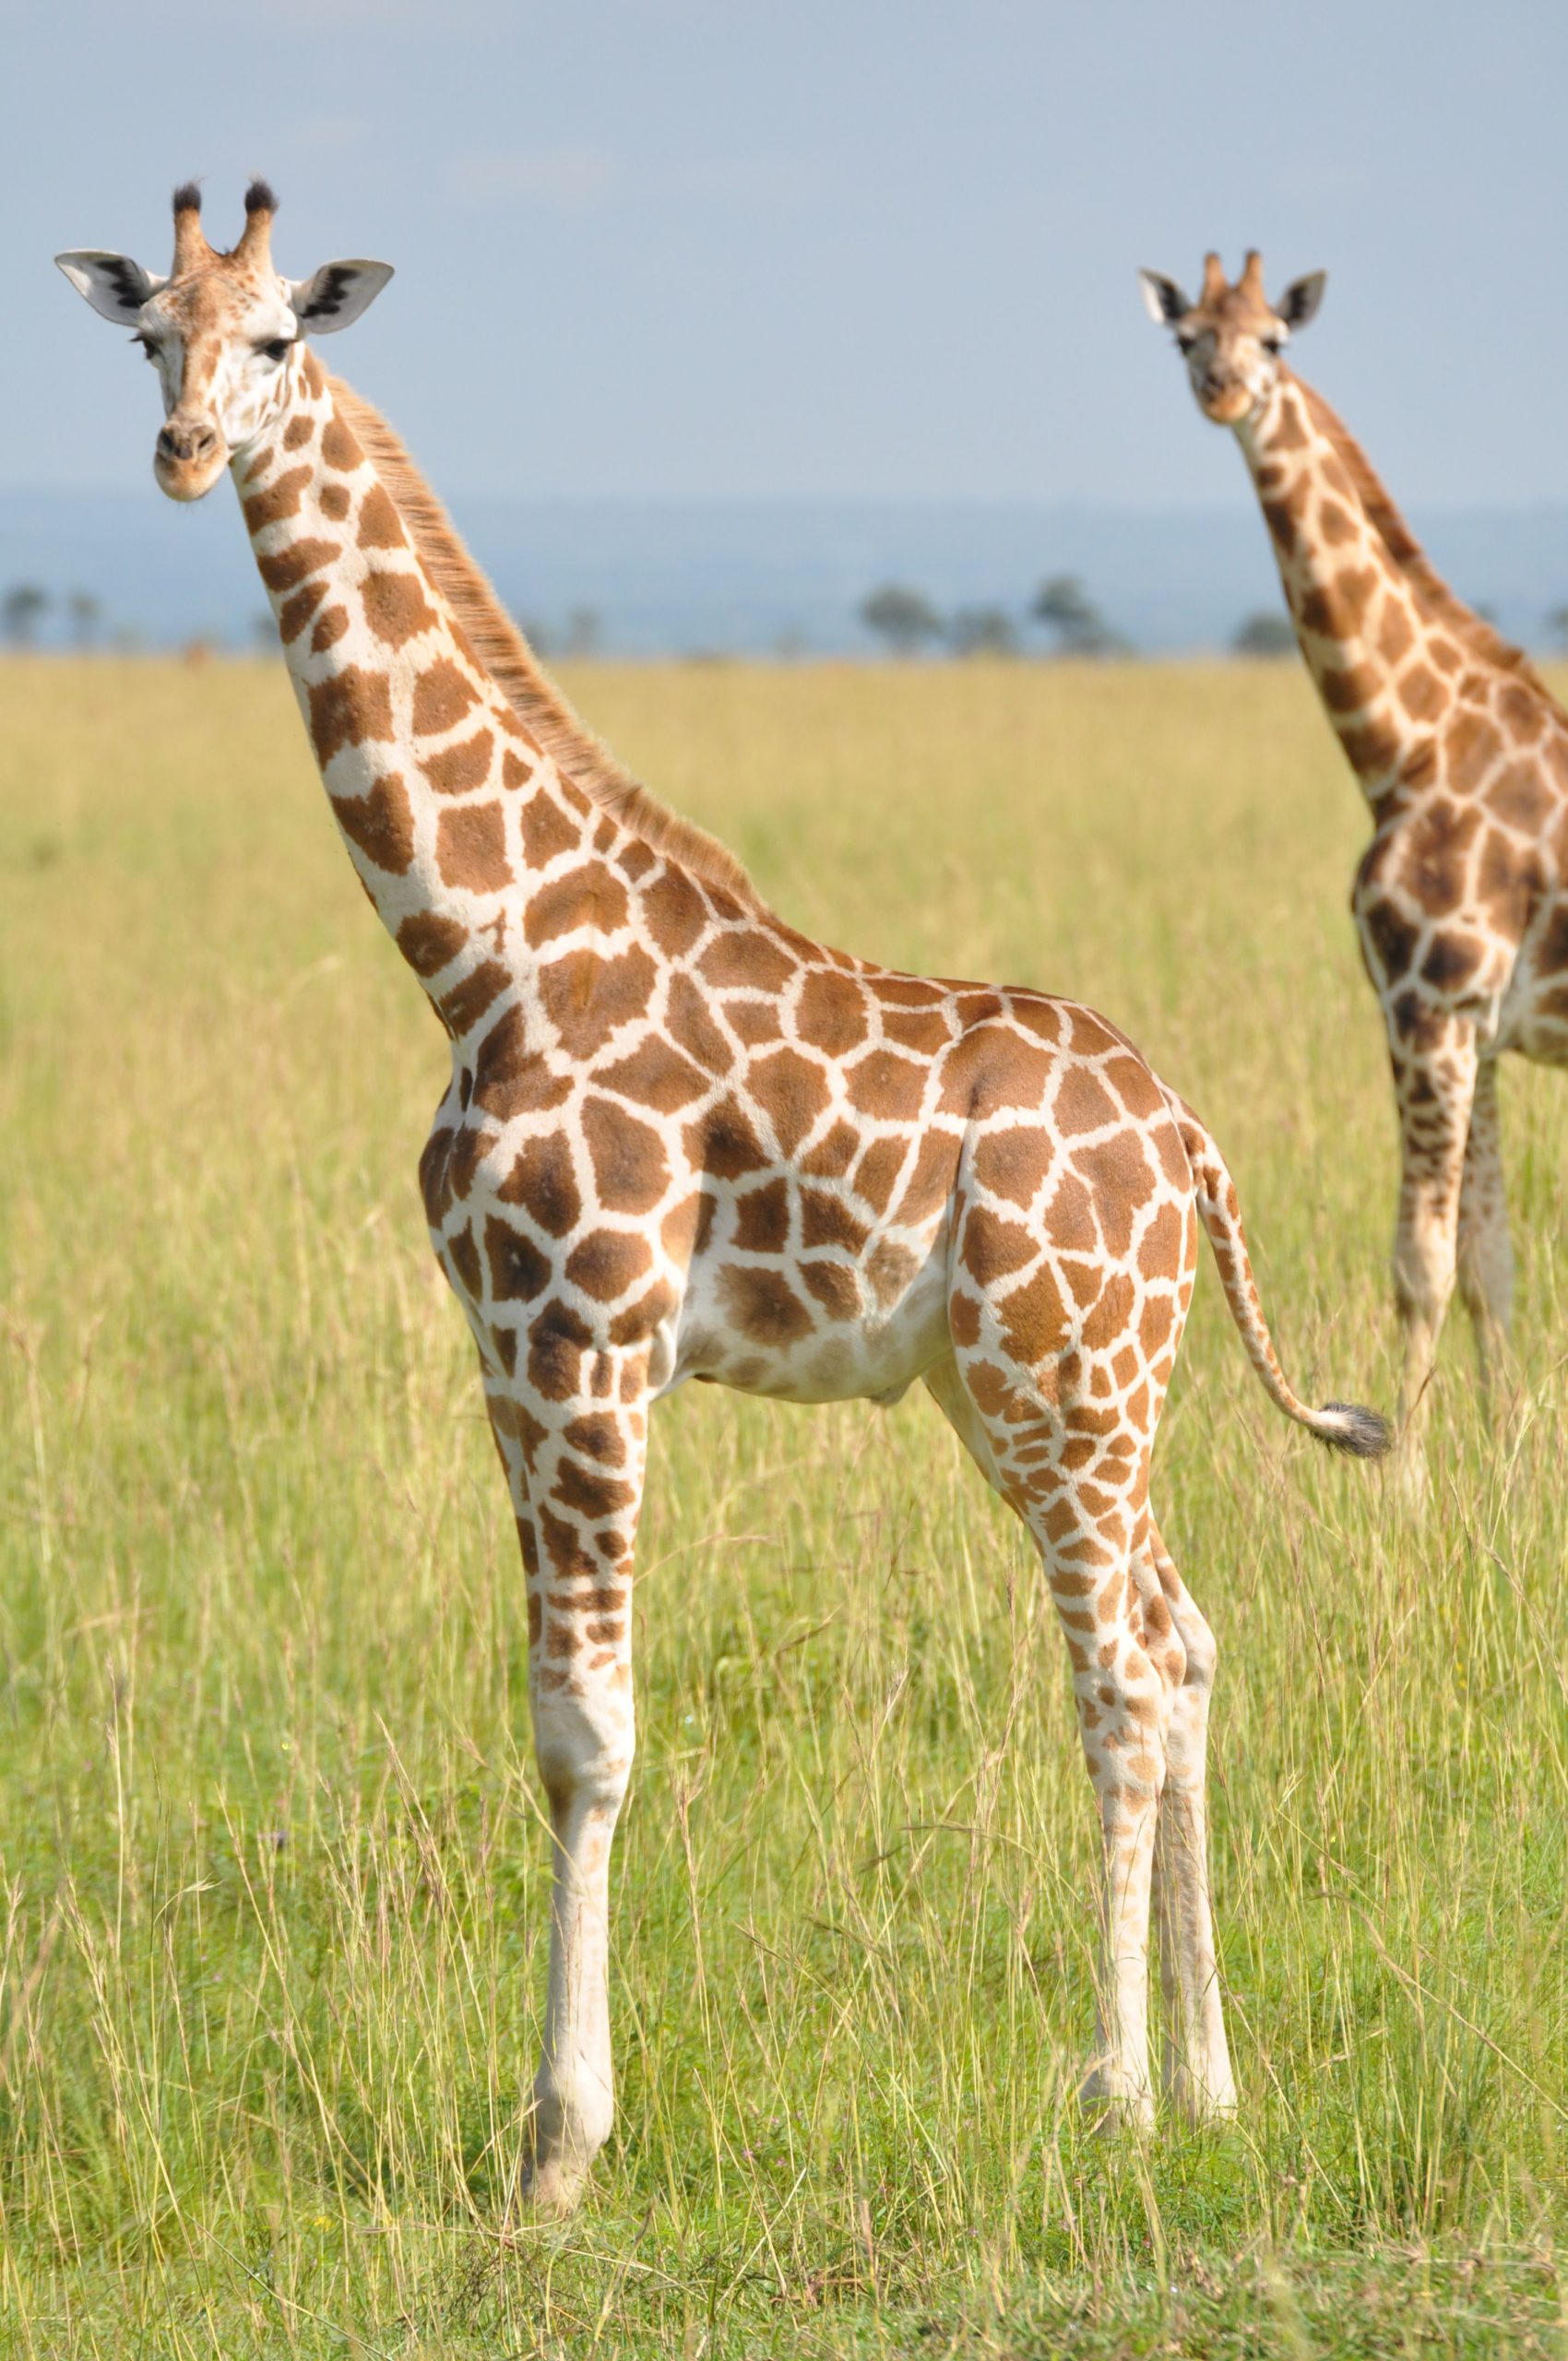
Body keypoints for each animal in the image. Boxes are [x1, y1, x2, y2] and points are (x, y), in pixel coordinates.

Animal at [54, 184, 1388, 2210]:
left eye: (280, 337)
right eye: (150, 339)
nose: (188, 449)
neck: (485, 953)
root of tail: (1192, 1148)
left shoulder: (588, 1350)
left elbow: (591, 1735)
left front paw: (557, 2148)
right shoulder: (506, 1359)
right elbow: (550, 1718)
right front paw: (553, 2127)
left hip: (1064, 1388)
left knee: (1118, 1673)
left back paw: (1113, 2092)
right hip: (1042, 1395)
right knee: (1185, 1639)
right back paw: (1215, 2083)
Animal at [1138, 258, 1568, 1473]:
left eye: (1274, 339)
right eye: (1185, 335)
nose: (1223, 391)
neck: (1404, 742)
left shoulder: (1428, 1008)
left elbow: (1417, 1262)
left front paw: (1405, 1477)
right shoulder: (1473, 1027)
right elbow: (1486, 1265)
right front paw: (1502, 1456)